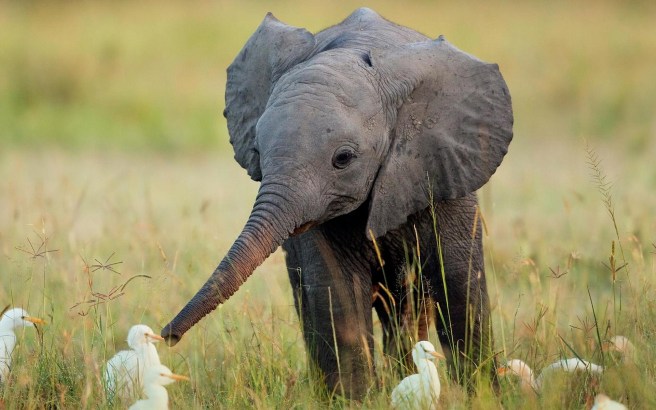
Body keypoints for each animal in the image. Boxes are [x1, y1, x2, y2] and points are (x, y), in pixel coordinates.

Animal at [161, 8, 513, 399]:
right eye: (257, 152)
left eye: (343, 159)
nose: (167, 336)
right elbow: (336, 292)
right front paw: (354, 400)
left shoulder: (444, 169)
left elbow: (460, 284)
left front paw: (484, 396)